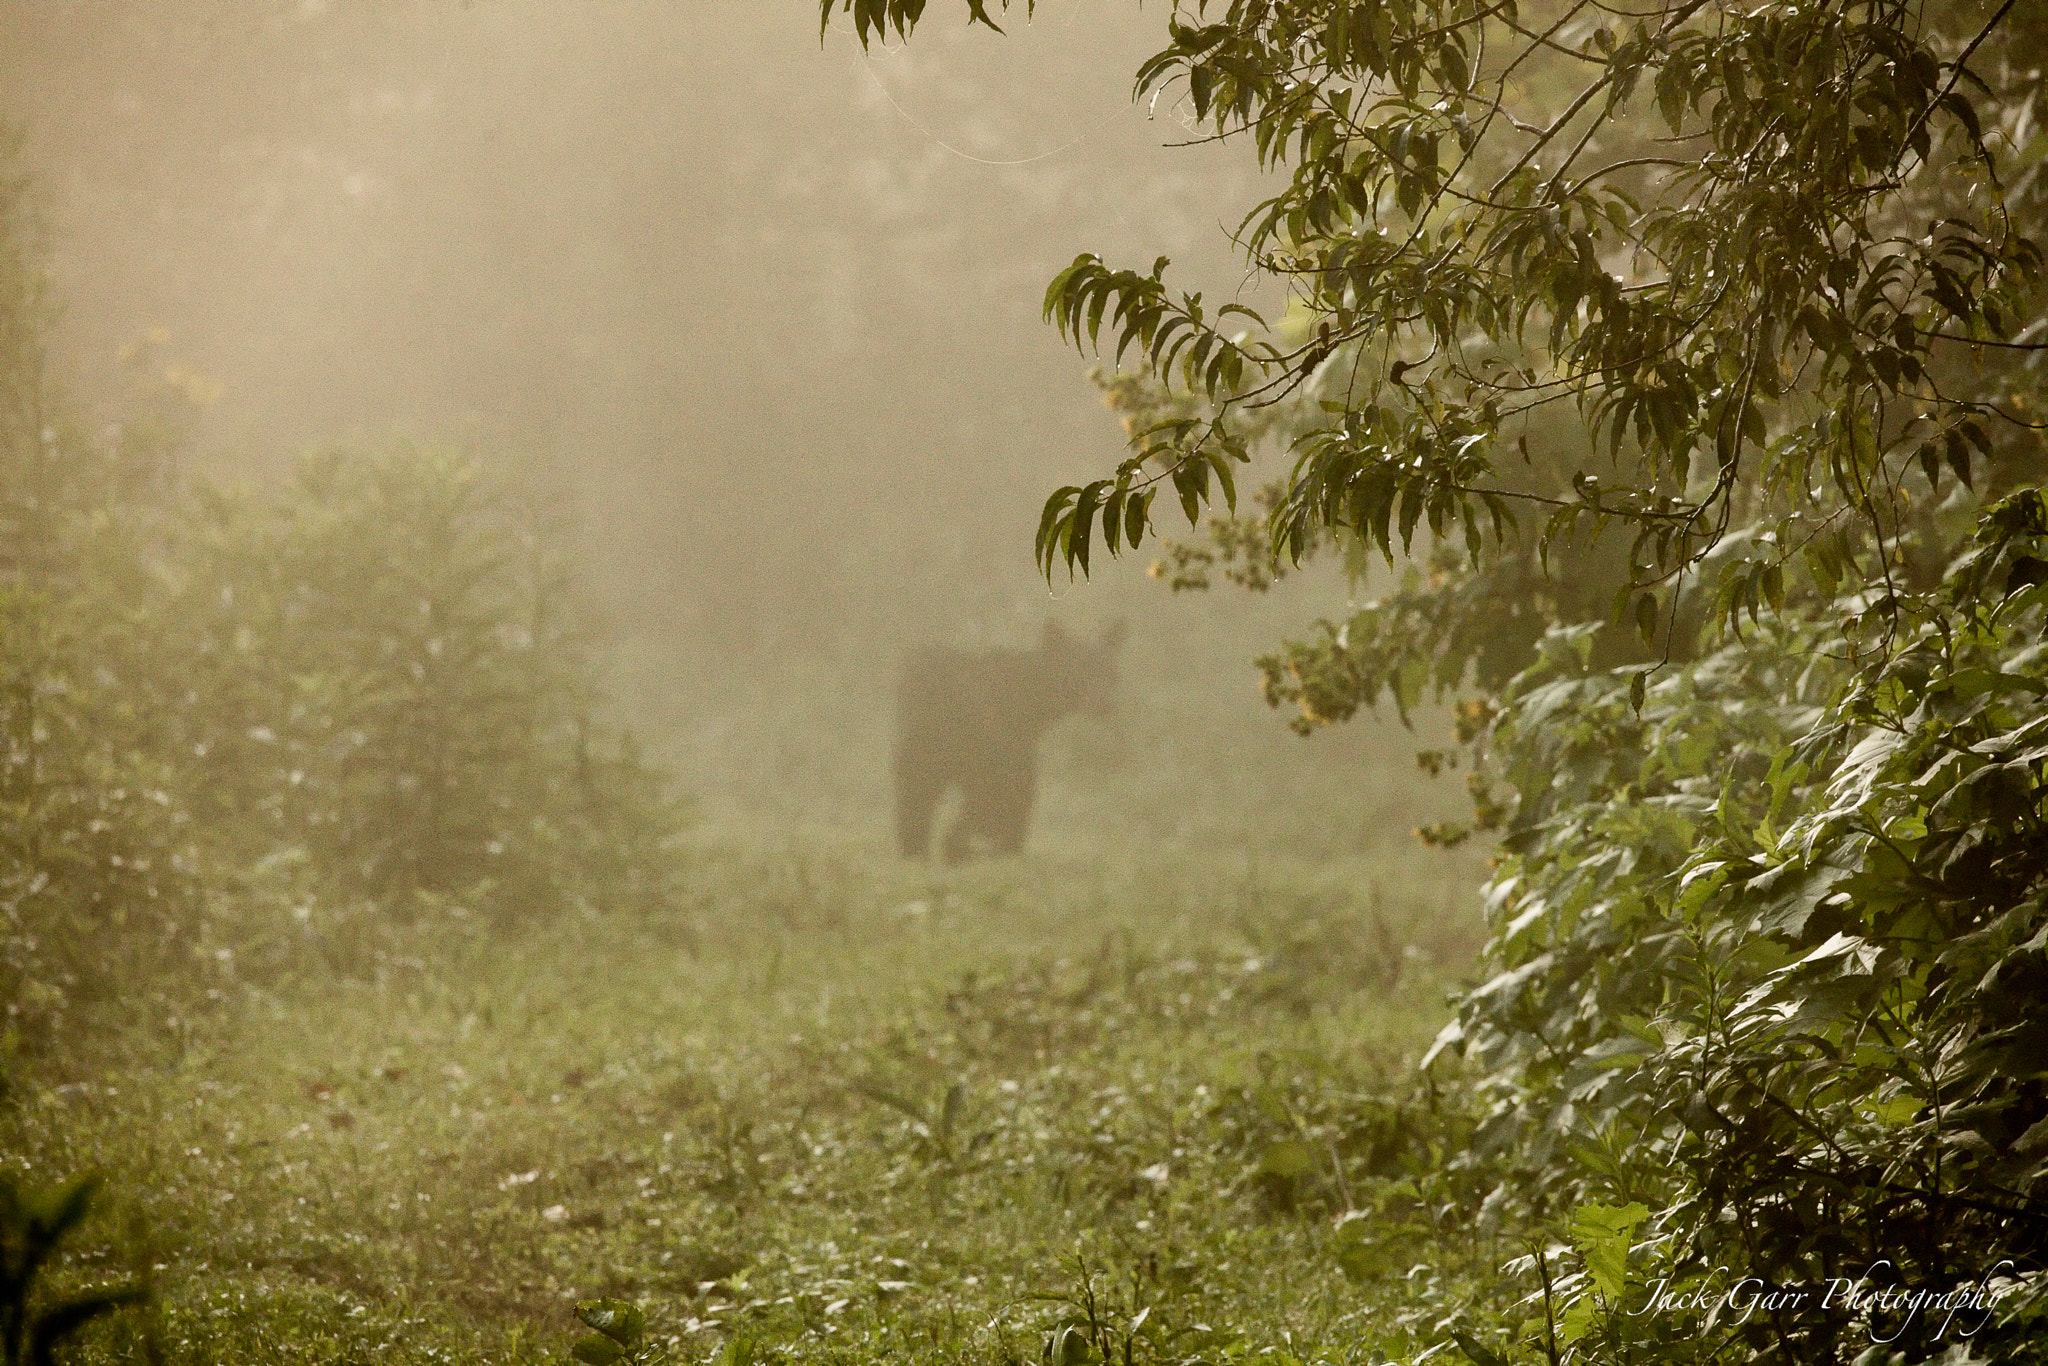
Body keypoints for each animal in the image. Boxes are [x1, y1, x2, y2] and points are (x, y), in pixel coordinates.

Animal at [892, 620, 1127, 862]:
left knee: (914, 800)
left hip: (918, 747)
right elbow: (1013, 794)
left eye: (1111, 671)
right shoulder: (1010, 745)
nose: (1103, 703)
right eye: (1079, 669)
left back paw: (920, 852)